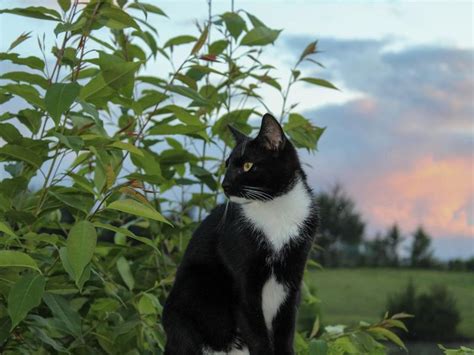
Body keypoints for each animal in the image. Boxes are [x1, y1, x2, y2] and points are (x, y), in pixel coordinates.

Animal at [163, 112, 318, 354]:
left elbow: (285, 333)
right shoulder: (244, 283)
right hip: (193, 292)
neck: (275, 210)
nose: (225, 184)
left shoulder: (293, 278)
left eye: (247, 165)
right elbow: (257, 335)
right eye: (227, 165)